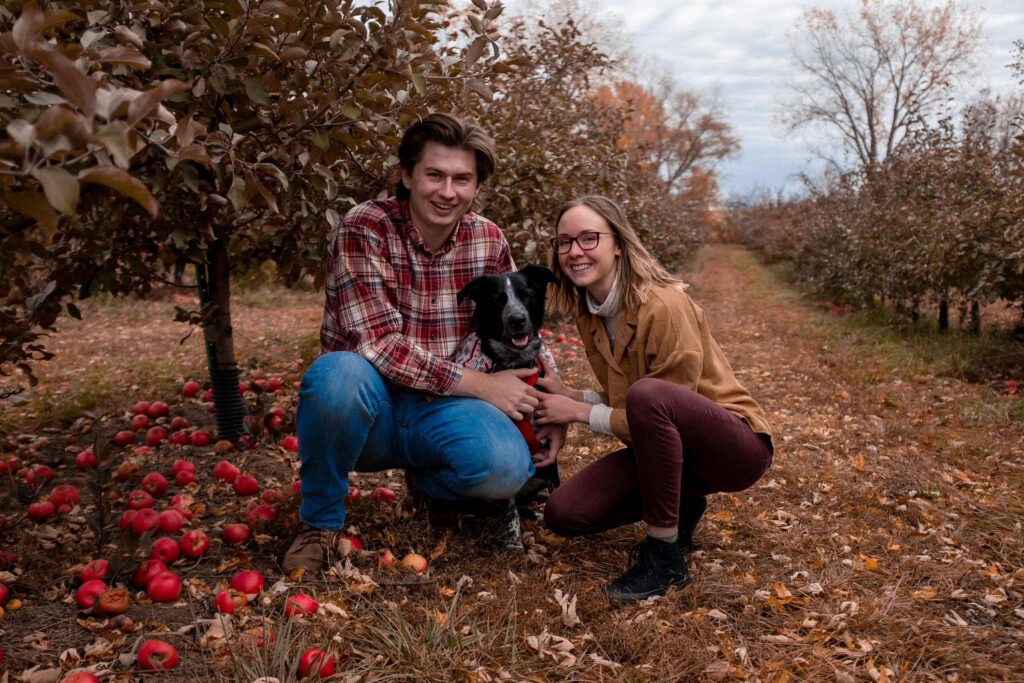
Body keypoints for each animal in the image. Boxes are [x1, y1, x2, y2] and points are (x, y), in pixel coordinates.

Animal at [460, 264, 565, 552]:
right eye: (497, 299)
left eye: (527, 293)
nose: (517, 319)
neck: (516, 364)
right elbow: (509, 507)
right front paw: (514, 540)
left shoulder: (548, 450)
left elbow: (556, 491)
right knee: (517, 504)